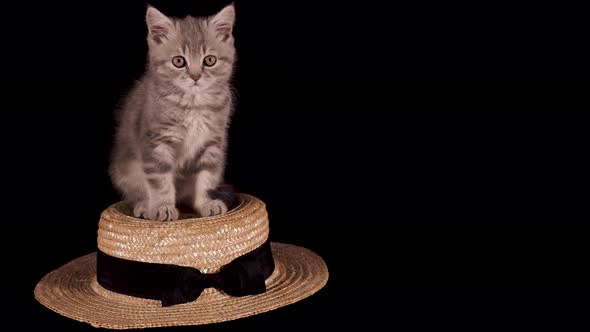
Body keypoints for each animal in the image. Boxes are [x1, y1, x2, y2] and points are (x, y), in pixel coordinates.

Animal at [110, 4, 237, 220]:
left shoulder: (212, 142)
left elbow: (206, 177)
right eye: (179, 61)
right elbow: (160, 181)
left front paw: (205, 203)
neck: (193, 104)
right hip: (127, 169)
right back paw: (144, 206)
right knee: (136, 192)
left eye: (209, 60)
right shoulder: (156, 143)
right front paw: (162, 207)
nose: (195, 76)